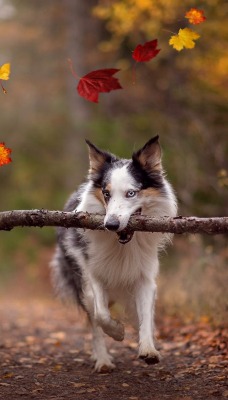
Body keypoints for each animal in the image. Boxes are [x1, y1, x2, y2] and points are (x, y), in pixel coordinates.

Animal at [50, 135, 177, 372]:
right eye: (106, 193)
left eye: (131, 193)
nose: (110, 225)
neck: (122, 247)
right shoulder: (92, 275)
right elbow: (101, 315)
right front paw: (118, 331)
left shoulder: (145, 278)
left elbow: (146, 316)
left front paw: (148, 349)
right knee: (94, 321)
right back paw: (102, 360)